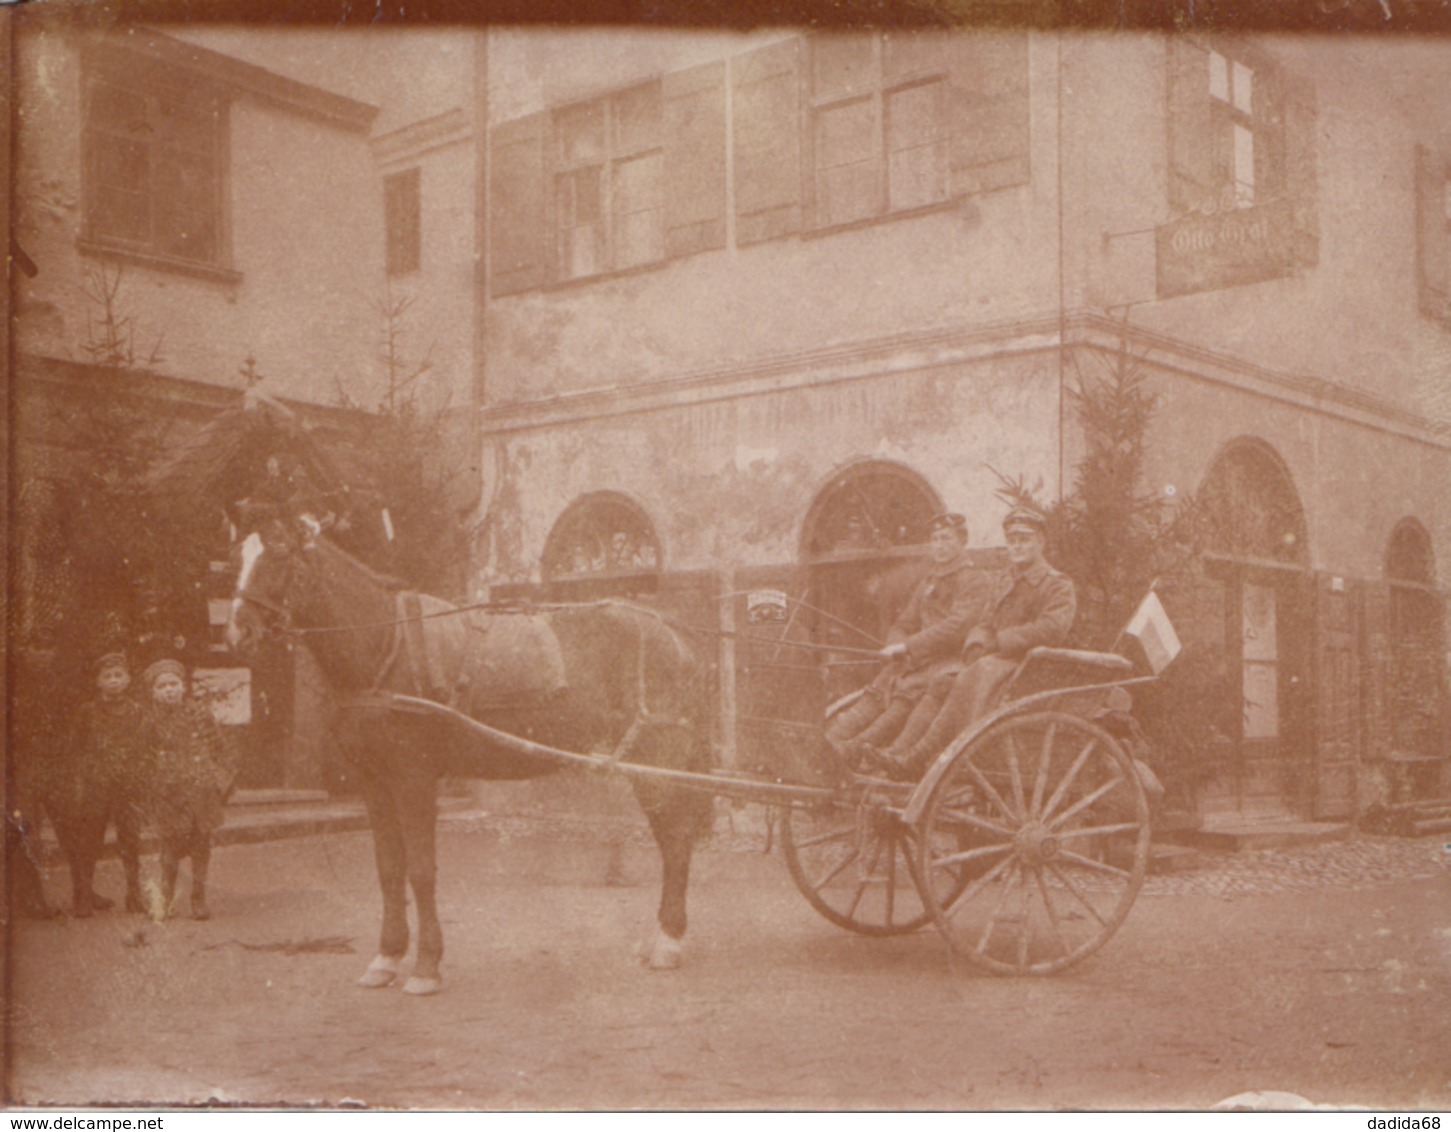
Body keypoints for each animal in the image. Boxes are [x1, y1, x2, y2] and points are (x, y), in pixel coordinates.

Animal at [224, 507, 713, 992]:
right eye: (237, 557)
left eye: (279, 553)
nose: (238, 631)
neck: (388, 648)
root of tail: (674, 632)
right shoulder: (374, 783)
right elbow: (389, 869)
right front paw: (387, 956)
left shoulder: (415, 780)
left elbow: (421, 870)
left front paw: (425, 966)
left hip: (656, 759)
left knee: (675, 842)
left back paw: (668, 941)